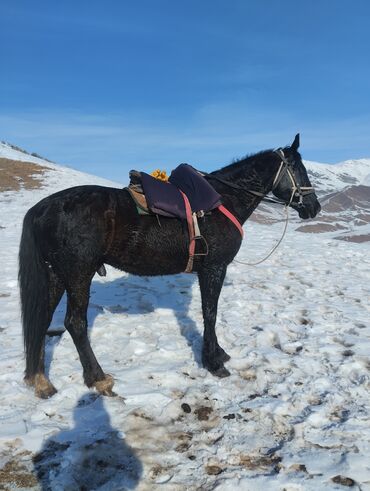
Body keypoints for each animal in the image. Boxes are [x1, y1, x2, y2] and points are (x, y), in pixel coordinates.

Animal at [18, 135, 320, 400]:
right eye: (298, 169)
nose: (314, 207)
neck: (223, 201)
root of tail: (42, 208)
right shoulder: (214, 268)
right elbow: (210, 313)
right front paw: (214, 362)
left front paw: (218, 354)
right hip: (79, 274)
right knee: (75, 323)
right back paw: (99, 378)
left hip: (56, 274)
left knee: (42, 319)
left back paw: (41, 382)